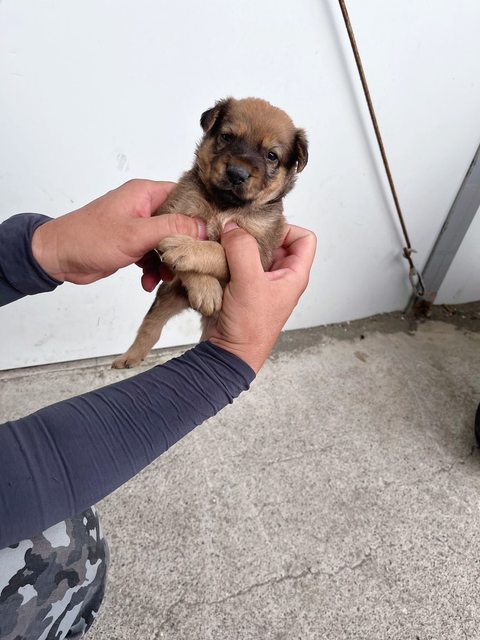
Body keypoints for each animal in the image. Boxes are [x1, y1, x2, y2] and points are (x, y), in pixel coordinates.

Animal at [112, 97, 308, 369]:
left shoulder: (259, 253)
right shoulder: (170, 212)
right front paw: (207, 290)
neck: (223, 205)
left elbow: (217, 249)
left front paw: (184, 248)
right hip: (166, 296)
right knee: (150, 326)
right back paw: (129, 357)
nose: (237, 173)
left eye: (271, 156)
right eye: (226, 136)